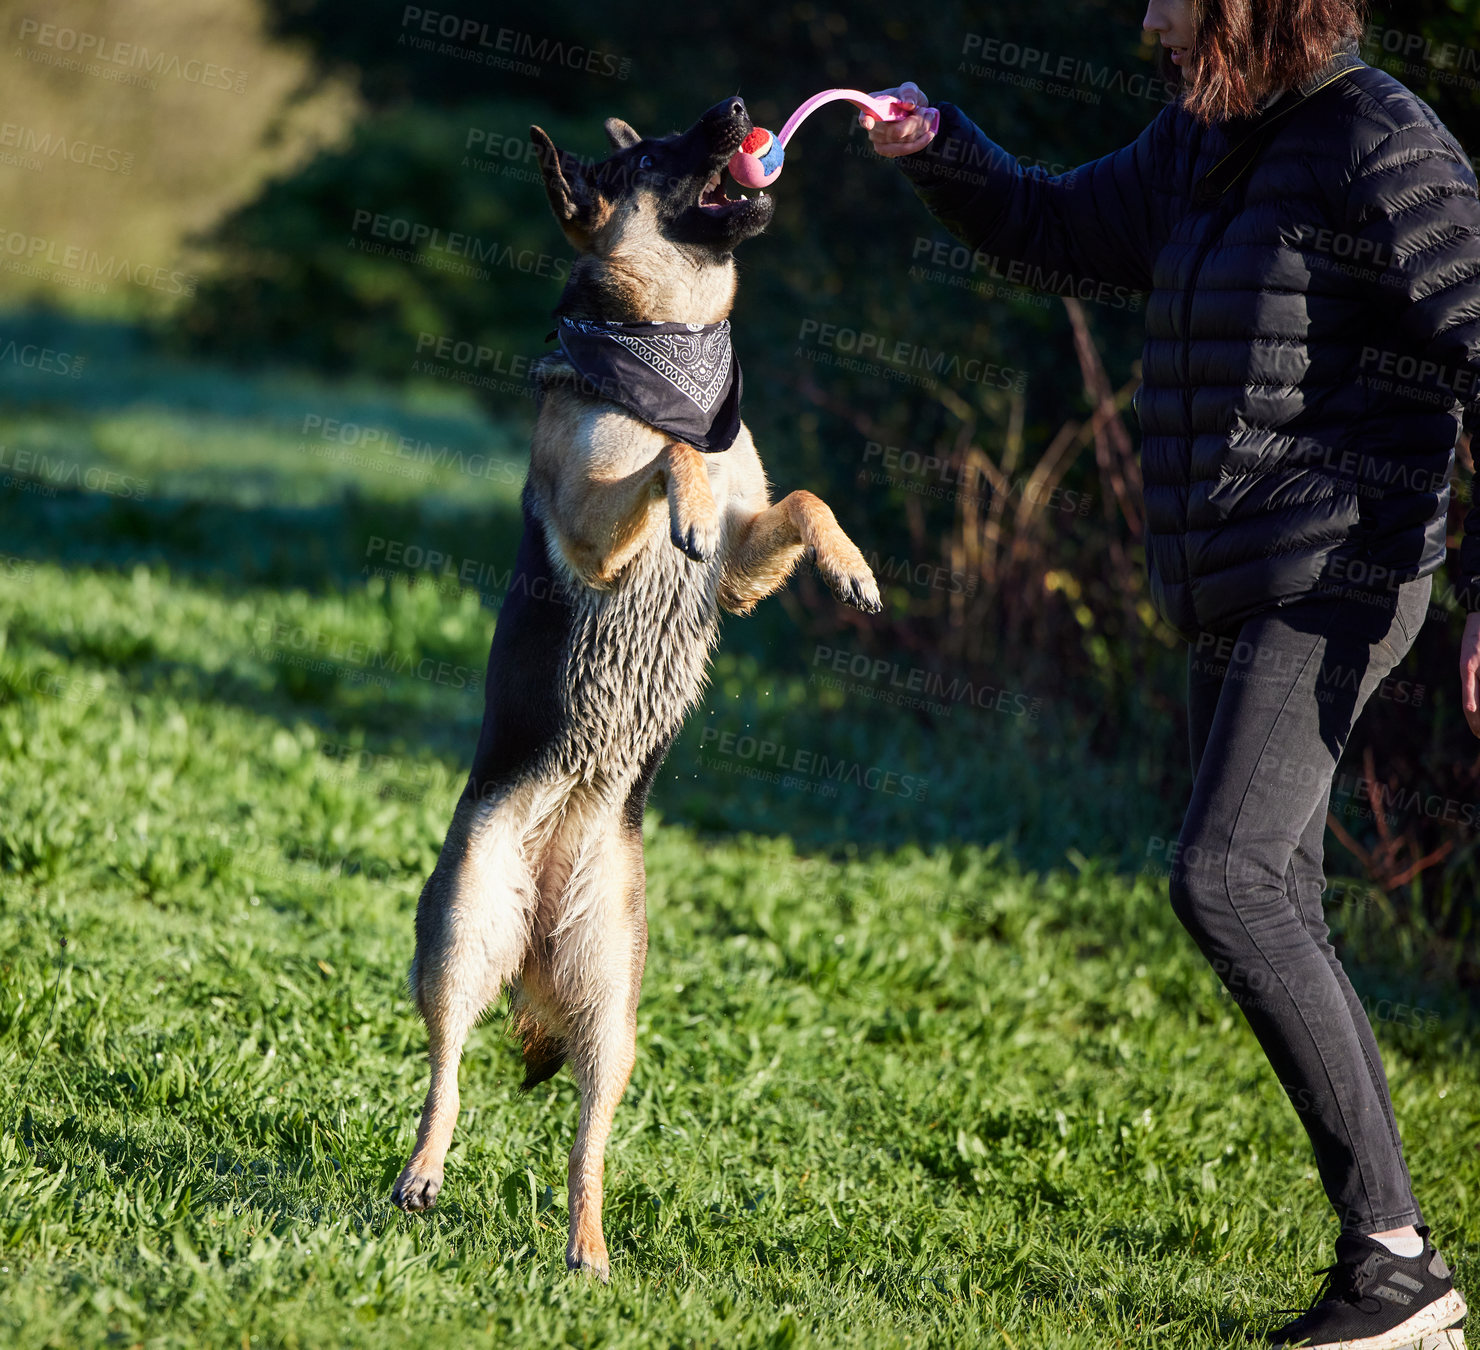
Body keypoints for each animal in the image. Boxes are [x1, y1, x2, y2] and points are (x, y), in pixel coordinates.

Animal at [390, 94, 876, 1278]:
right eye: (654, 154)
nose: (740, 109)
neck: (668, 350)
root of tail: (537, 924)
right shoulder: (593, 533)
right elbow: (666, 463)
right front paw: (683, 492)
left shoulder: (743, 565)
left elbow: (797, 498)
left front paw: (850, 566)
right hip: (461, 937)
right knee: (446, 1070)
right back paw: (423, 1173)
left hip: (614, 1016)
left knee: (585, 1145)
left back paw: (590, 1251)